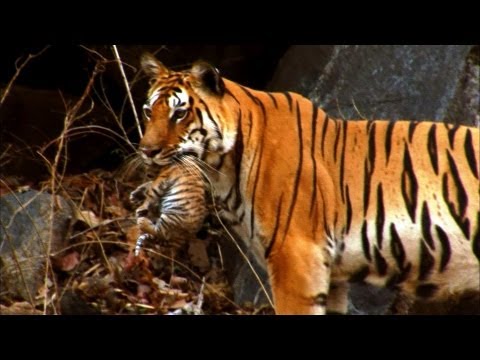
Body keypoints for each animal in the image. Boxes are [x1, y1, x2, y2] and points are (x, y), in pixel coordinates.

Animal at [135, 53, 480, 316]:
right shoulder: (332, 273)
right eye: (149, 111)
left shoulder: (295, 254)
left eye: (179, 114)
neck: (221, 169)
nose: (146, 150)